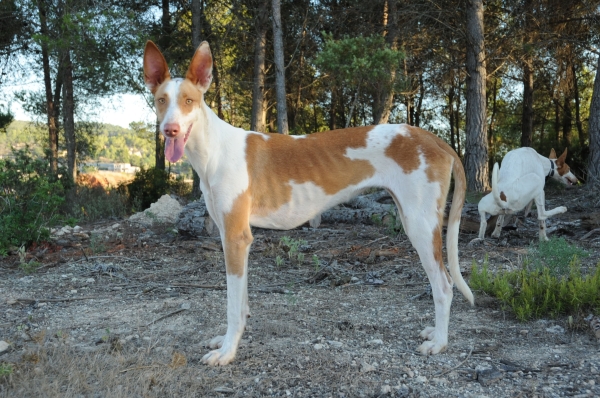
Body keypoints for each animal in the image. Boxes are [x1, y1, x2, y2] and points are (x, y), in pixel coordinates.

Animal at [144, 41, 474, 366]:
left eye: (188, 101)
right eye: (161, 100)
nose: (170, 130)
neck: (214, 150)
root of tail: (434, 139)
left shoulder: (235, 237)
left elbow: (232, 306)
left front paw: (227, 351)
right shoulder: (236, 238)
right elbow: (242, 302)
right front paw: (228, 340)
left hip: (420, 226)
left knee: (444, 286)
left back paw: (440, 343)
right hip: (411, 218)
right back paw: (434, 333)